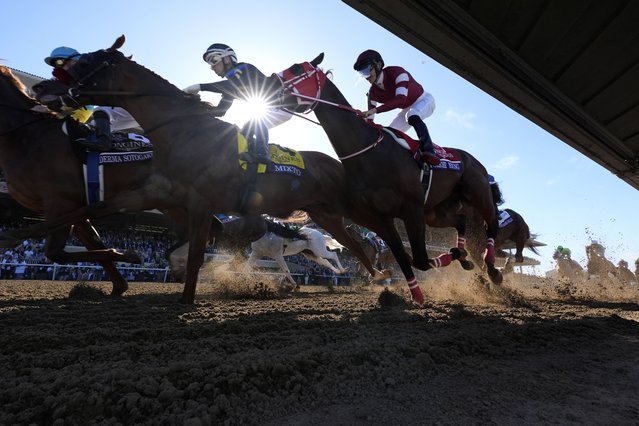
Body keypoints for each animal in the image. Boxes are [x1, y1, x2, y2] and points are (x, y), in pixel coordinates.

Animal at [13, 35, 384, 302]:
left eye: (85, 63)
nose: (42, 88)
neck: (182, 131)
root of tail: (337, 162)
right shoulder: (155, 194)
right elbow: (85, 211)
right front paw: (17, 234)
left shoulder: (202, 203)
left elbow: (195, 256)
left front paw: (186, 300)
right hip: (324, 213)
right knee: (351, 243)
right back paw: (374, 276)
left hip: (338, 209)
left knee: (358, 242)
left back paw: (379, 276)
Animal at [270, 53, 504, 302]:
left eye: (296, 69)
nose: (269, 81)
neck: (369, 153)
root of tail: (472, 159)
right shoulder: (382, 217)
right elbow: (406, 257)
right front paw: (416, 293)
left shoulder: (411, 210)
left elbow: (419, 260)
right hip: (435, 212)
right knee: (460, 221)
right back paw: (465, 257)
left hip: (478, 194)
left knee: (491, 223)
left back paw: (492, 268)